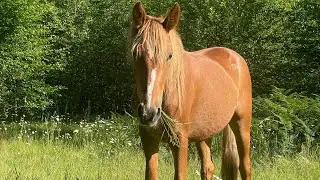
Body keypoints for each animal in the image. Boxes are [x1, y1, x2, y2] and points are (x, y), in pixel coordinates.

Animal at [129, 1, 251, 180]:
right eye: (135, 53)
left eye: (170, 55)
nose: (149, 112)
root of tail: (234, 56)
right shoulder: (148, 138)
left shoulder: (180, 141)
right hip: (205, 133)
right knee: (208, 167)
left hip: (242, 124)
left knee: (245, 167)